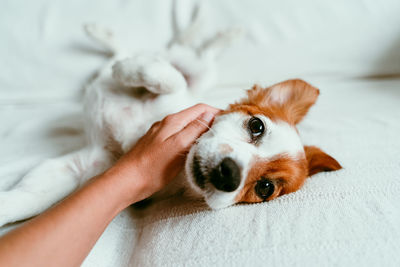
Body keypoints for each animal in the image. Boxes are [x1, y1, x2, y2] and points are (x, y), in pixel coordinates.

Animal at [0, 3, 340, 228]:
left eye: (265, 189)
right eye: (256, 126)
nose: (228, 175)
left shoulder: (86, 166)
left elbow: (30, 198)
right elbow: (168, 79)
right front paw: (131, 71)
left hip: (199, 68)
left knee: (181, 51)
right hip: (193, 66)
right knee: (170, 51)